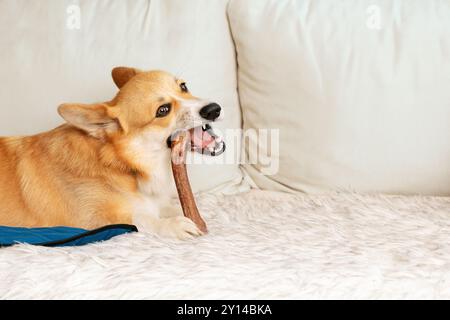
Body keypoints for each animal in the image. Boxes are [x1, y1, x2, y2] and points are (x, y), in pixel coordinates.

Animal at [0, 67, 225, 238]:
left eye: (183, 86)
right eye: (163, 110)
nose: (214, 109)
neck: (124, 165)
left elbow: (167, 206)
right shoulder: (90, 221)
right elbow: (142, 219)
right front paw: (174, 224)